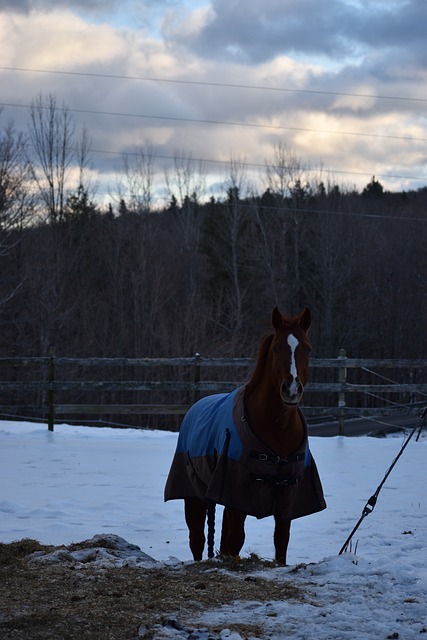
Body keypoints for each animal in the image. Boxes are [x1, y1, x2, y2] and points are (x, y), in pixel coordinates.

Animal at [166, 308, 326, 564]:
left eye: (308, 348)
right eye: (276, 348)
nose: (291, 390)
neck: (277, 429)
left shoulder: (287, 497)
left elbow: (281, 543)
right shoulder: (238, 496)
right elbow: (235, 541)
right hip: (194, 496)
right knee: (197, 540)